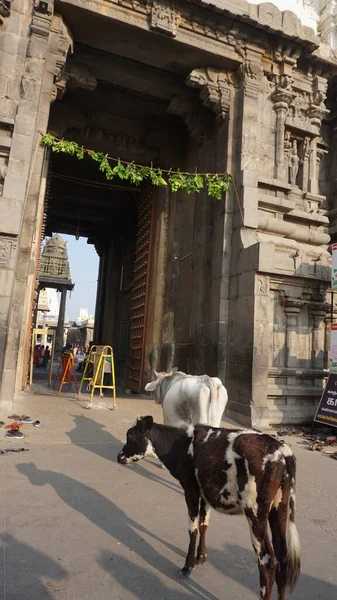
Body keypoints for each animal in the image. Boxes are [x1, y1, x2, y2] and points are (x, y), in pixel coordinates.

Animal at [117, 418, 300, 600]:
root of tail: (284, 452)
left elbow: (193, 529)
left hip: (255, 513)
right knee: (283, 560)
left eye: (130, 436)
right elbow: (204, 524)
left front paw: (188, 566)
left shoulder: (190, 490)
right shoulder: (205, 495)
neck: (179, 444)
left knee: (268, 562)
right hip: (279, 509)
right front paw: (201, 556)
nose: (119, 457)